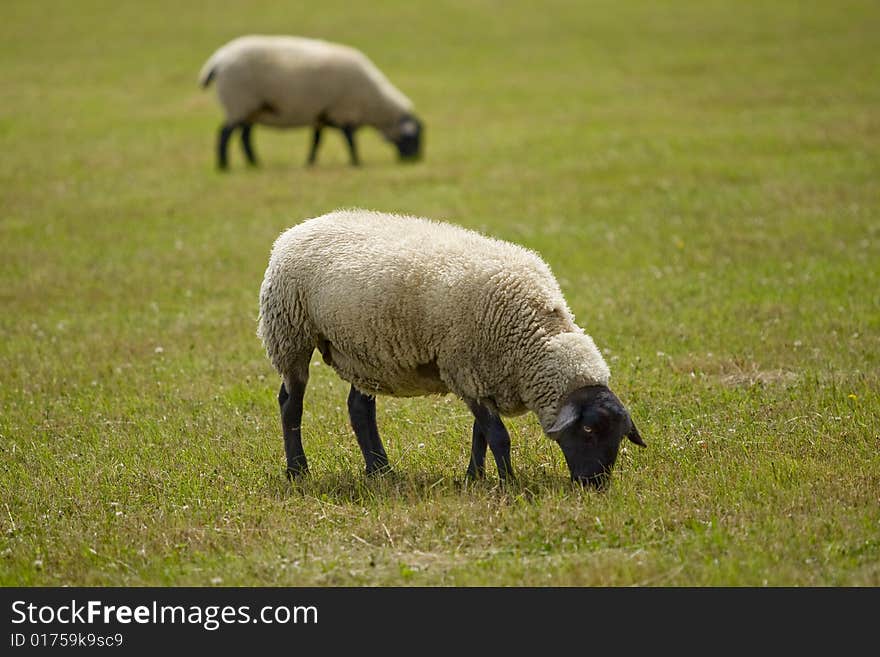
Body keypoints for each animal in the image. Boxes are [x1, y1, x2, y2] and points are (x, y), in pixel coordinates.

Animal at [199, 35, 422, 169]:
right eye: (413, 139)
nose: (415, 160)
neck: (374, 103)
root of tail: (218, 59)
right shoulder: (344, 110)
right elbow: (350, 140)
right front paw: (356, 162)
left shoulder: (321, 115)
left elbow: (316, 141)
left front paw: (310, 163)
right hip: (238, 101)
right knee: (225, 133)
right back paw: (224, 165)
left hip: (250, 107)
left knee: (244, 136)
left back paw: (255, 164)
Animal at [256, 210, 648, 486]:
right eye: (588, 430)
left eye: (618, 437)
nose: (594, 485)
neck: (533, 338)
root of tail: (296, 230)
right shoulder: (466, 370)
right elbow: (498, 436)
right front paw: (508, 482)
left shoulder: (481, 374)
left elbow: (481, 435)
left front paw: (475, 477)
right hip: (290, 331)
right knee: (291, 404)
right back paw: (298, 471)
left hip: (364, 349)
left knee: (360, 409)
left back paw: (380, 471)